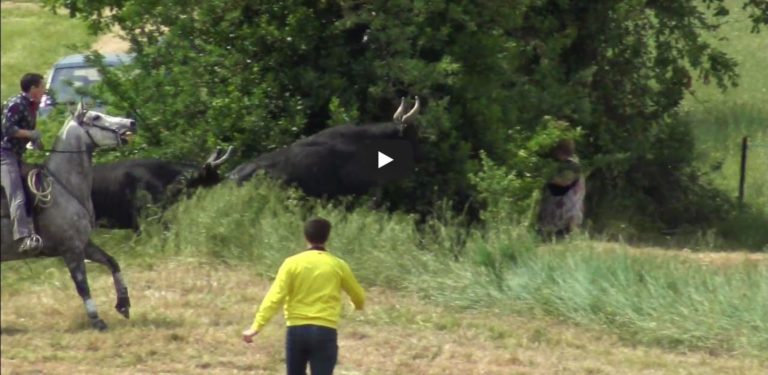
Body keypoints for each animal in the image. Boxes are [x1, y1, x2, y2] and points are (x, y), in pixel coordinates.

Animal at [1, 104, 137, 330]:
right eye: (96, 117)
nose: (131, 123)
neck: (63, 187)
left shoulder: (84, 244)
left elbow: (112, 262)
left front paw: (123, 304)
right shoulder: (70, 249)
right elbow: (82, 285)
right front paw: (97, 319)